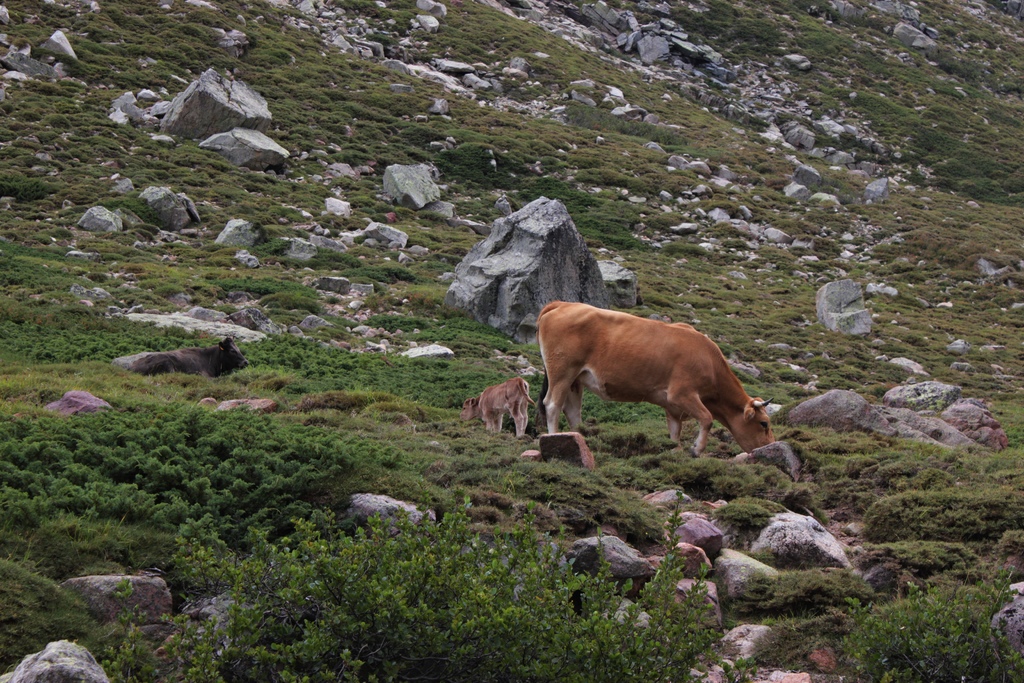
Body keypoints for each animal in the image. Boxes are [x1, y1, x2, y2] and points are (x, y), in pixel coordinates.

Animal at [540, 303, 770, 454]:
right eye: (764, 423)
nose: (770, 447)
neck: (709, 360)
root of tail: (562, 304)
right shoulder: (681, 394)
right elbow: (707, 418)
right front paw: (696, 449)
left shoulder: (673, 407)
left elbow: (675, 433)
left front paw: (675, 452)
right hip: (562, 372)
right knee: (552, 404)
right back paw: (553, 436)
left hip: (575, 380)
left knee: (572, 410)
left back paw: (581, 438)